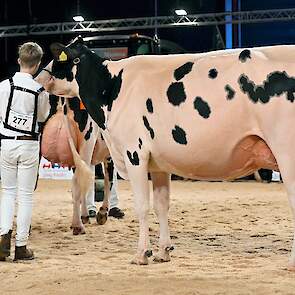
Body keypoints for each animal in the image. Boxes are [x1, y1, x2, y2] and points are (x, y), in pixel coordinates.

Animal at [37, 39, 295, 270]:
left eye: (57, 58)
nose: (38, 79)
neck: (112, 86)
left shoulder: (134, 153)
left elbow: (142, 206)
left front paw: (142, 253)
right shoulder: (159, 164)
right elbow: (162, 205)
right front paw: (164, 251)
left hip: (286, 153)